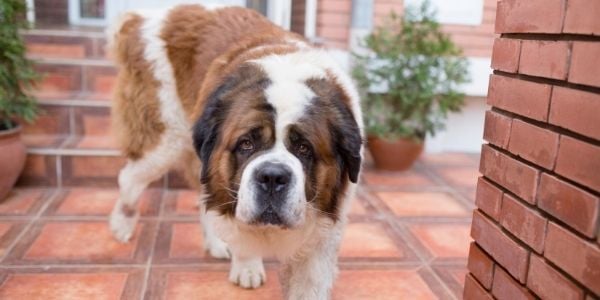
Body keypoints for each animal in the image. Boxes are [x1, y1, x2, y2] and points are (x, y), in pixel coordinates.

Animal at [106, 3, 360, 298]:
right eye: (246, 144)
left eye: (304, 148)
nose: (272, 176)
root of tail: (141, 18)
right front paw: (247, 267)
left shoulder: (325, 229)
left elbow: (310, 279)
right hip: (165, 140)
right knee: (130, 178)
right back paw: (122, 225)